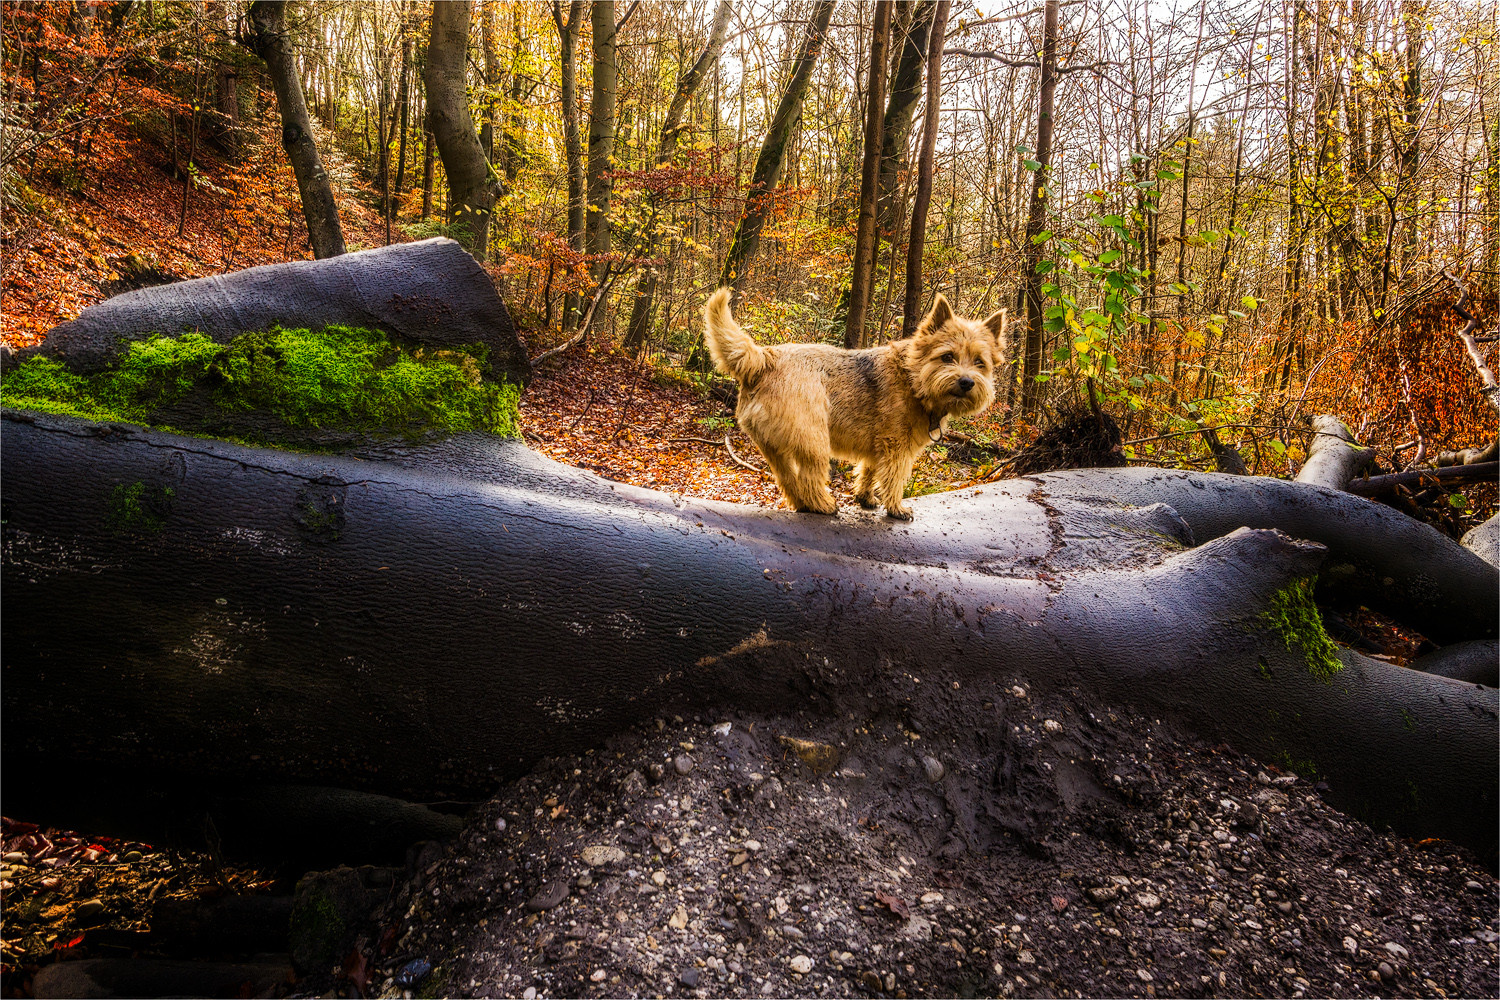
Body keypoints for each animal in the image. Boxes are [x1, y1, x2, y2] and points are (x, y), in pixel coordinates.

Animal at [702, 287, 1008, 521]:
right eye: (947, 357)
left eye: (980, 362)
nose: (966, 382)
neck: (913, 377)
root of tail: (764, 358)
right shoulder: (896, 447)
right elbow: (894, 478)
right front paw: (896, 508)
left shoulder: (877, 445)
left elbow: (869, 470)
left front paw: (865, 497)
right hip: (814, 440)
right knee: (810, 477)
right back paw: (823, 505)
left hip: (774, 447)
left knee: (788, 479)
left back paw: (803, 504)